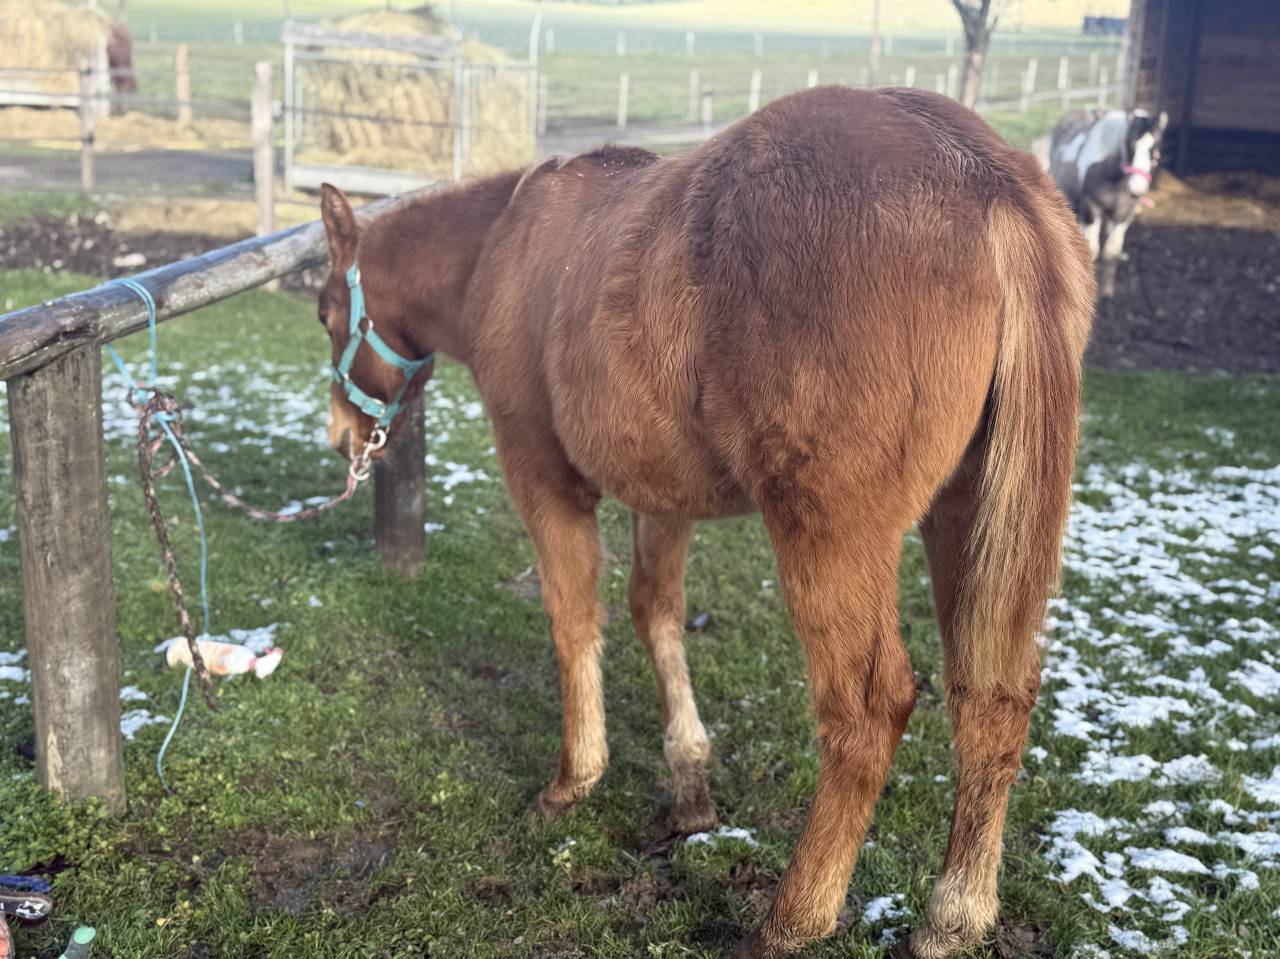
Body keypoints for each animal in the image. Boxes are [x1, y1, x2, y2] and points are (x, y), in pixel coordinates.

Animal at [315, 86, 1094, 958]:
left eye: (323, 312)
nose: (344, 436)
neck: (508, 240)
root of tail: (987, 181)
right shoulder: (662, 498)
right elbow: (656, 613)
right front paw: (690, 784)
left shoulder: (542, 477)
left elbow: (572, 618)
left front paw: (574, 779)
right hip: (967, 519)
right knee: (991, 695)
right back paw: (952, 916)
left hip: (828, 535)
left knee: (867, 711)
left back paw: (793, 917)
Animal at [1049, 108, 1167, 297]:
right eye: (1130, 146)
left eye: (1155, 150)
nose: (1137, 188)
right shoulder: (1091, 207)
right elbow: (1093, 250)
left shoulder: (1124, 213)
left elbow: (1111, 252)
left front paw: (1108, 291)